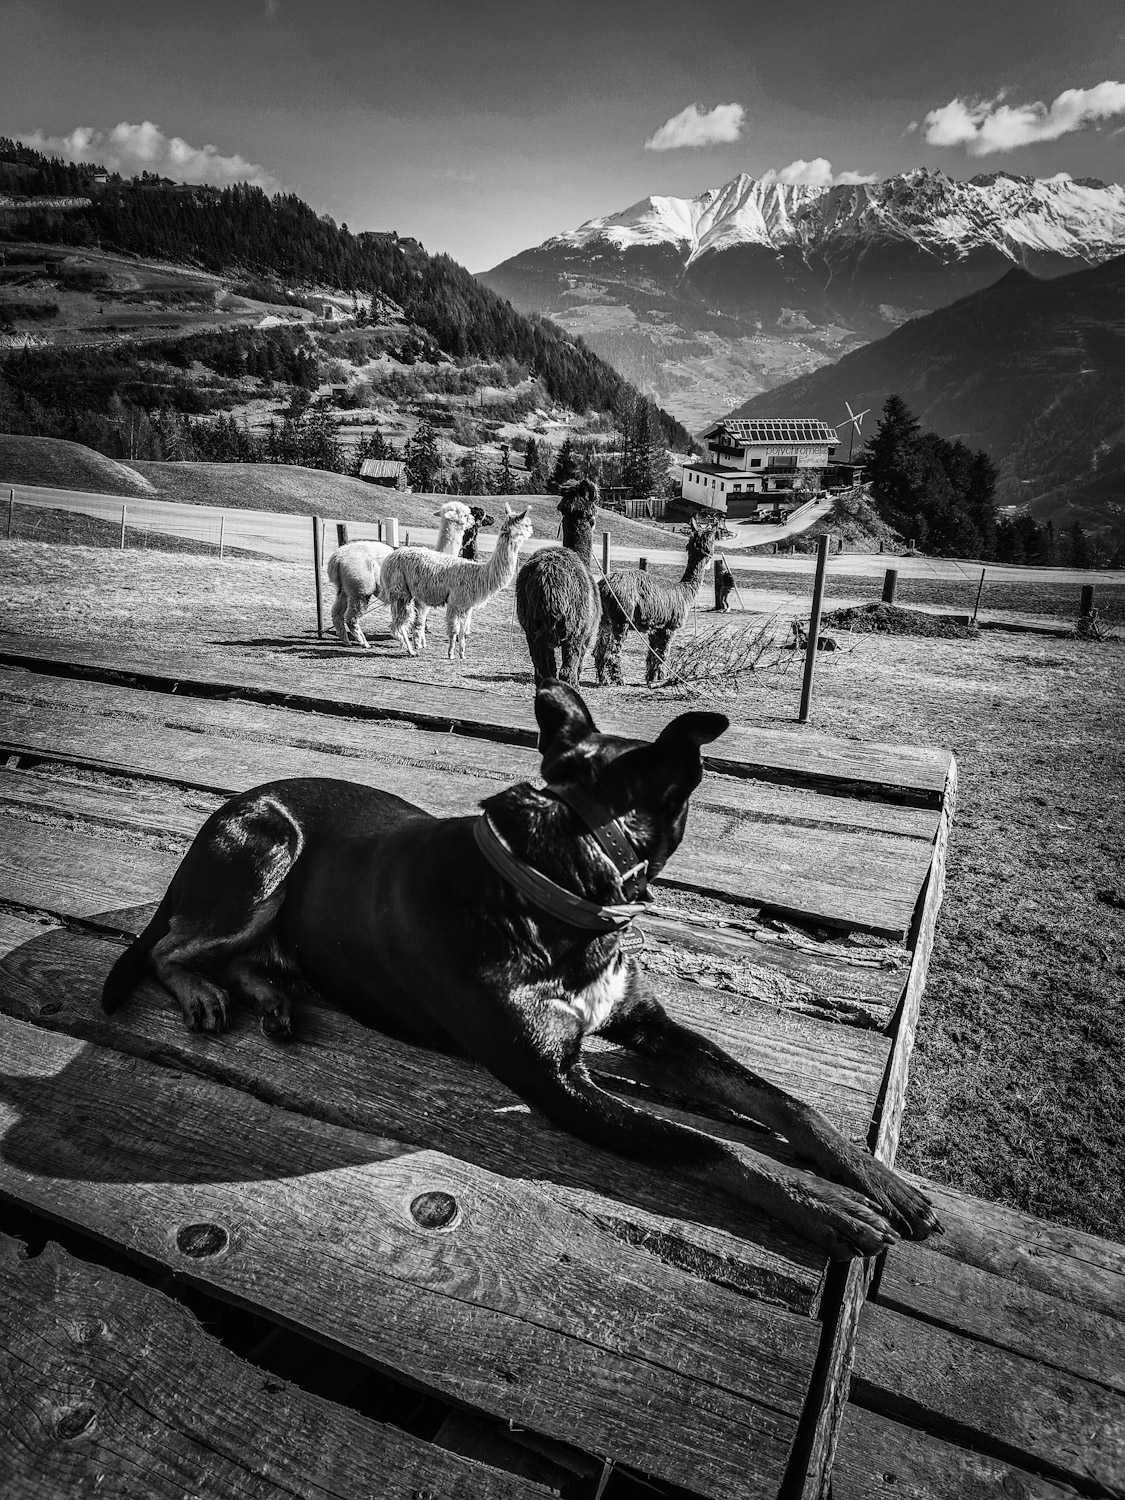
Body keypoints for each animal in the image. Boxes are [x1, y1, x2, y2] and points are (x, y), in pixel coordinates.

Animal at [103, 687, 942, 1260]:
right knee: (170, 947)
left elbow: (784, 1103)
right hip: (266, 853)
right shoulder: (558, 1084)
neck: (551, 887)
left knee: (236, 954)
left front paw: (878, 1180)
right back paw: (206, 993)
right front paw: (825, 1206)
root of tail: (221, 816)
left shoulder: (644, 1021)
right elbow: (711, 1147)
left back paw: (271, 998)